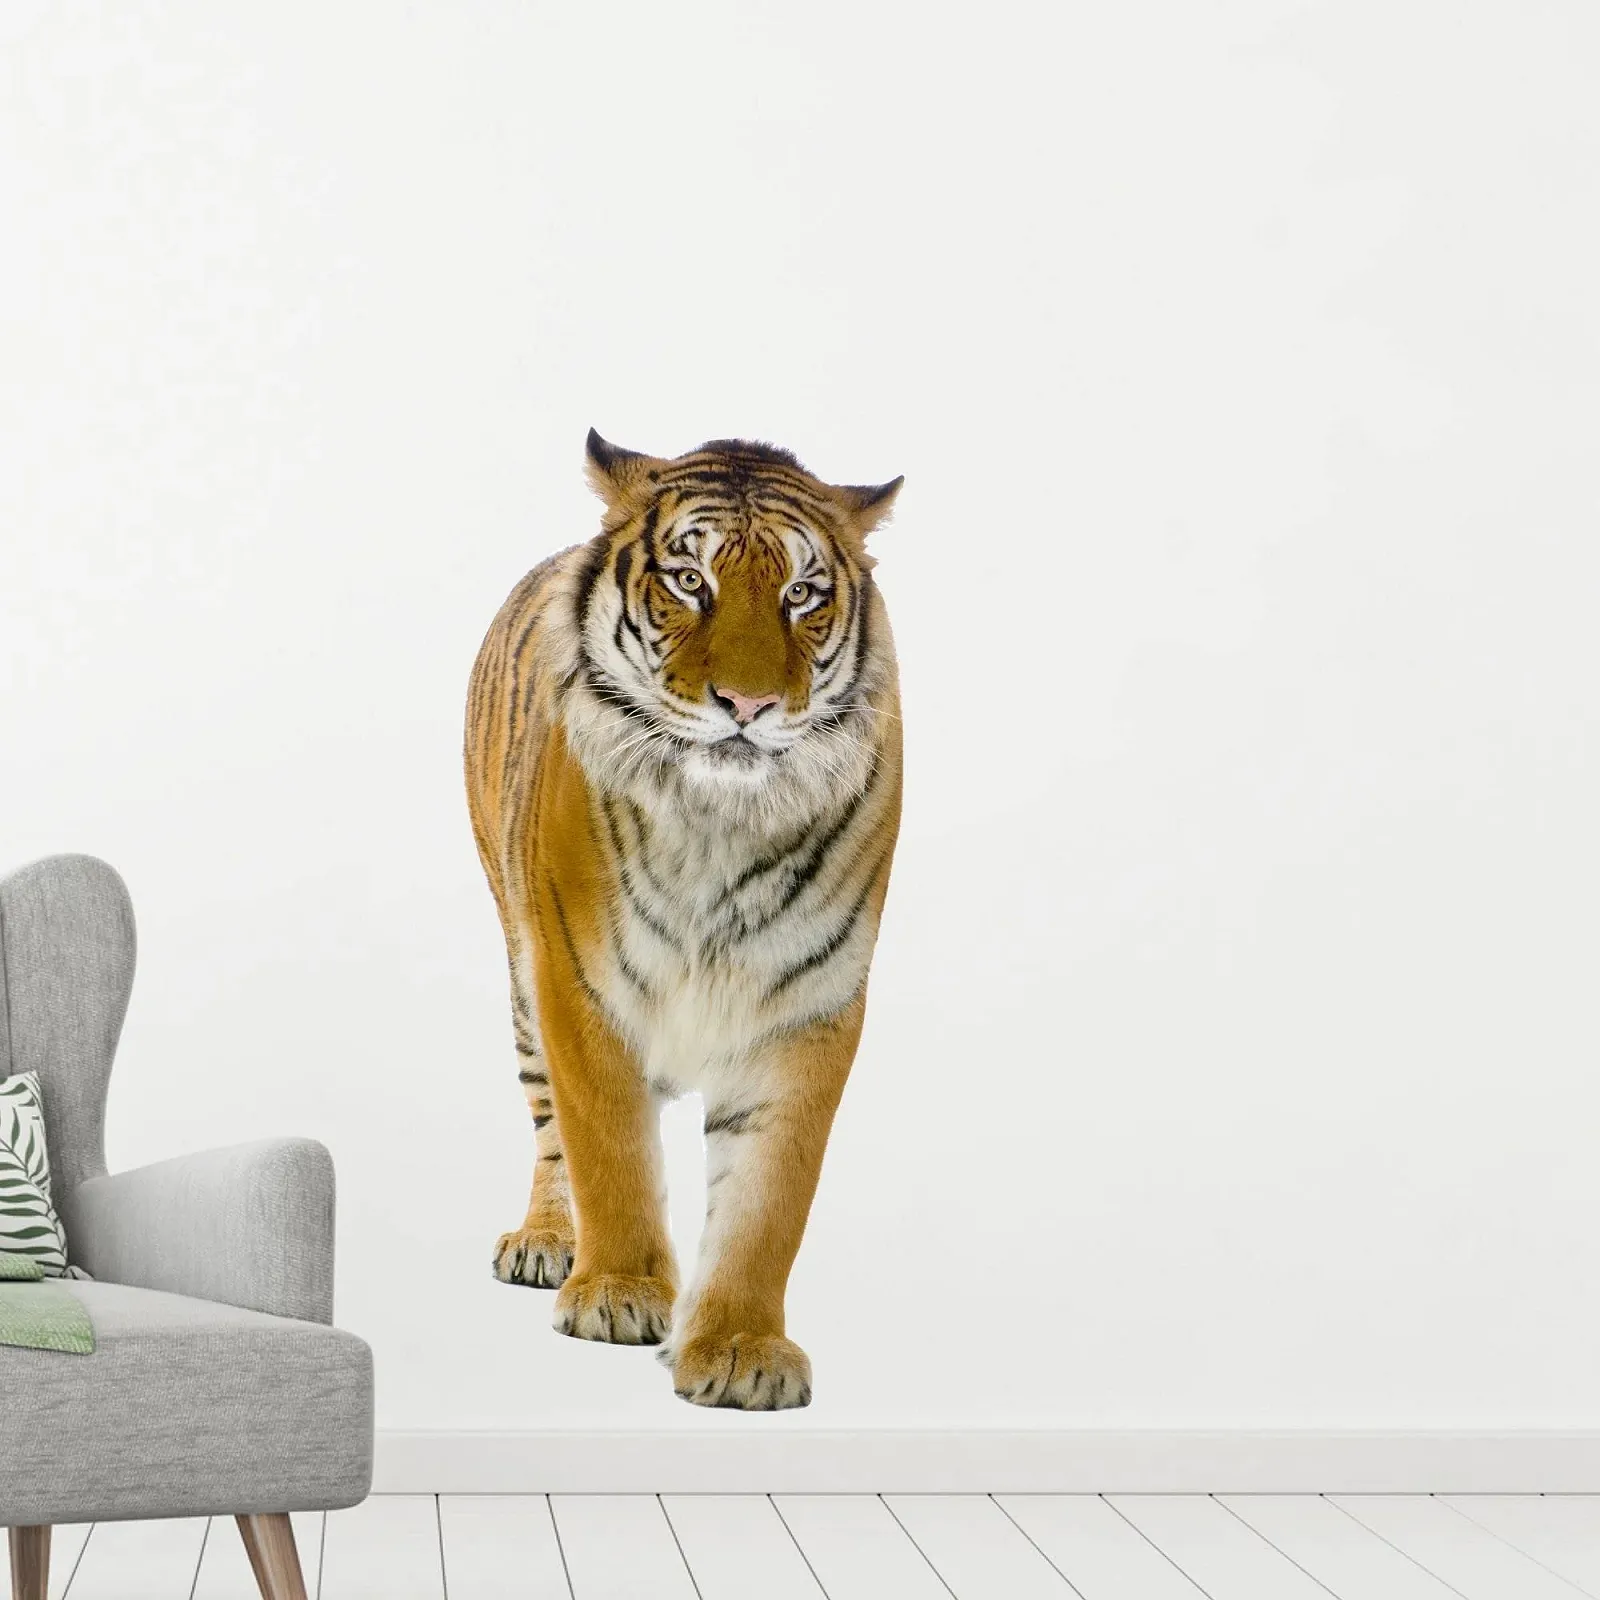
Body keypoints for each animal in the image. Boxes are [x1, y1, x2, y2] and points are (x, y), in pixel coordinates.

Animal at [463, 430, 904, 1410]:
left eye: (801, 594)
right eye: (690, 581)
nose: (747, 706)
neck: (719, 822)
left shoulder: (808, 1007)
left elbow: (769, 1201)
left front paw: (741, 1348)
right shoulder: (580, 983)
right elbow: (609, 1152)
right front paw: (619, 1294)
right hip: (518, 968)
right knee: (549, 1126)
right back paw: (549, 1243)